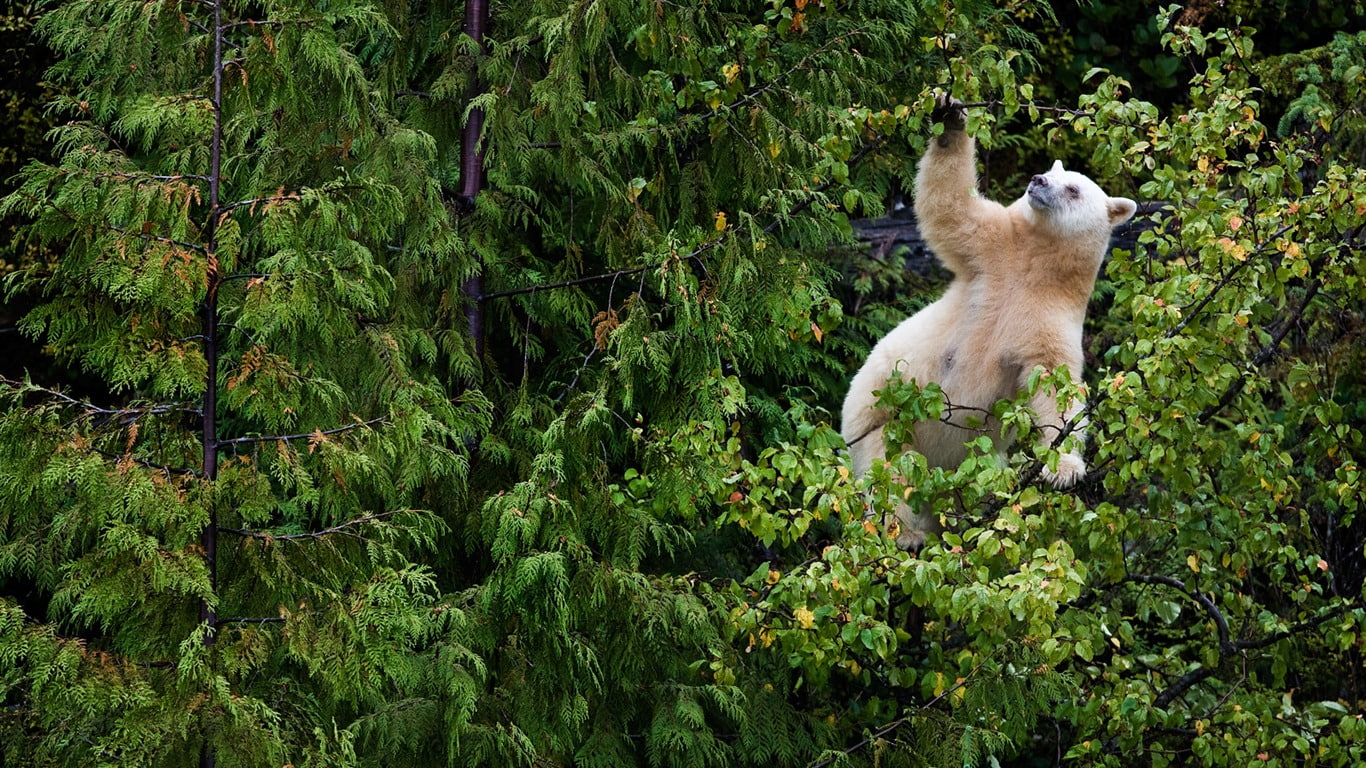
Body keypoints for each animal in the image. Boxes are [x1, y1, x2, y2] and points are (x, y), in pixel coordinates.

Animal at [841, 97, 1137, 548]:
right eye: (1051, 171)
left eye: (1073, 188)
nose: (1037, 180)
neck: (1033, 263)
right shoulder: (990, 252)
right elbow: (951, 209)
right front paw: (950, 117)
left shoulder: (1051, 316)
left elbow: (1055, 383)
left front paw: (1063, 469)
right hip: (877, 417)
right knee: (889, 472)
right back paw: (907, 534)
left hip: (967, 464)